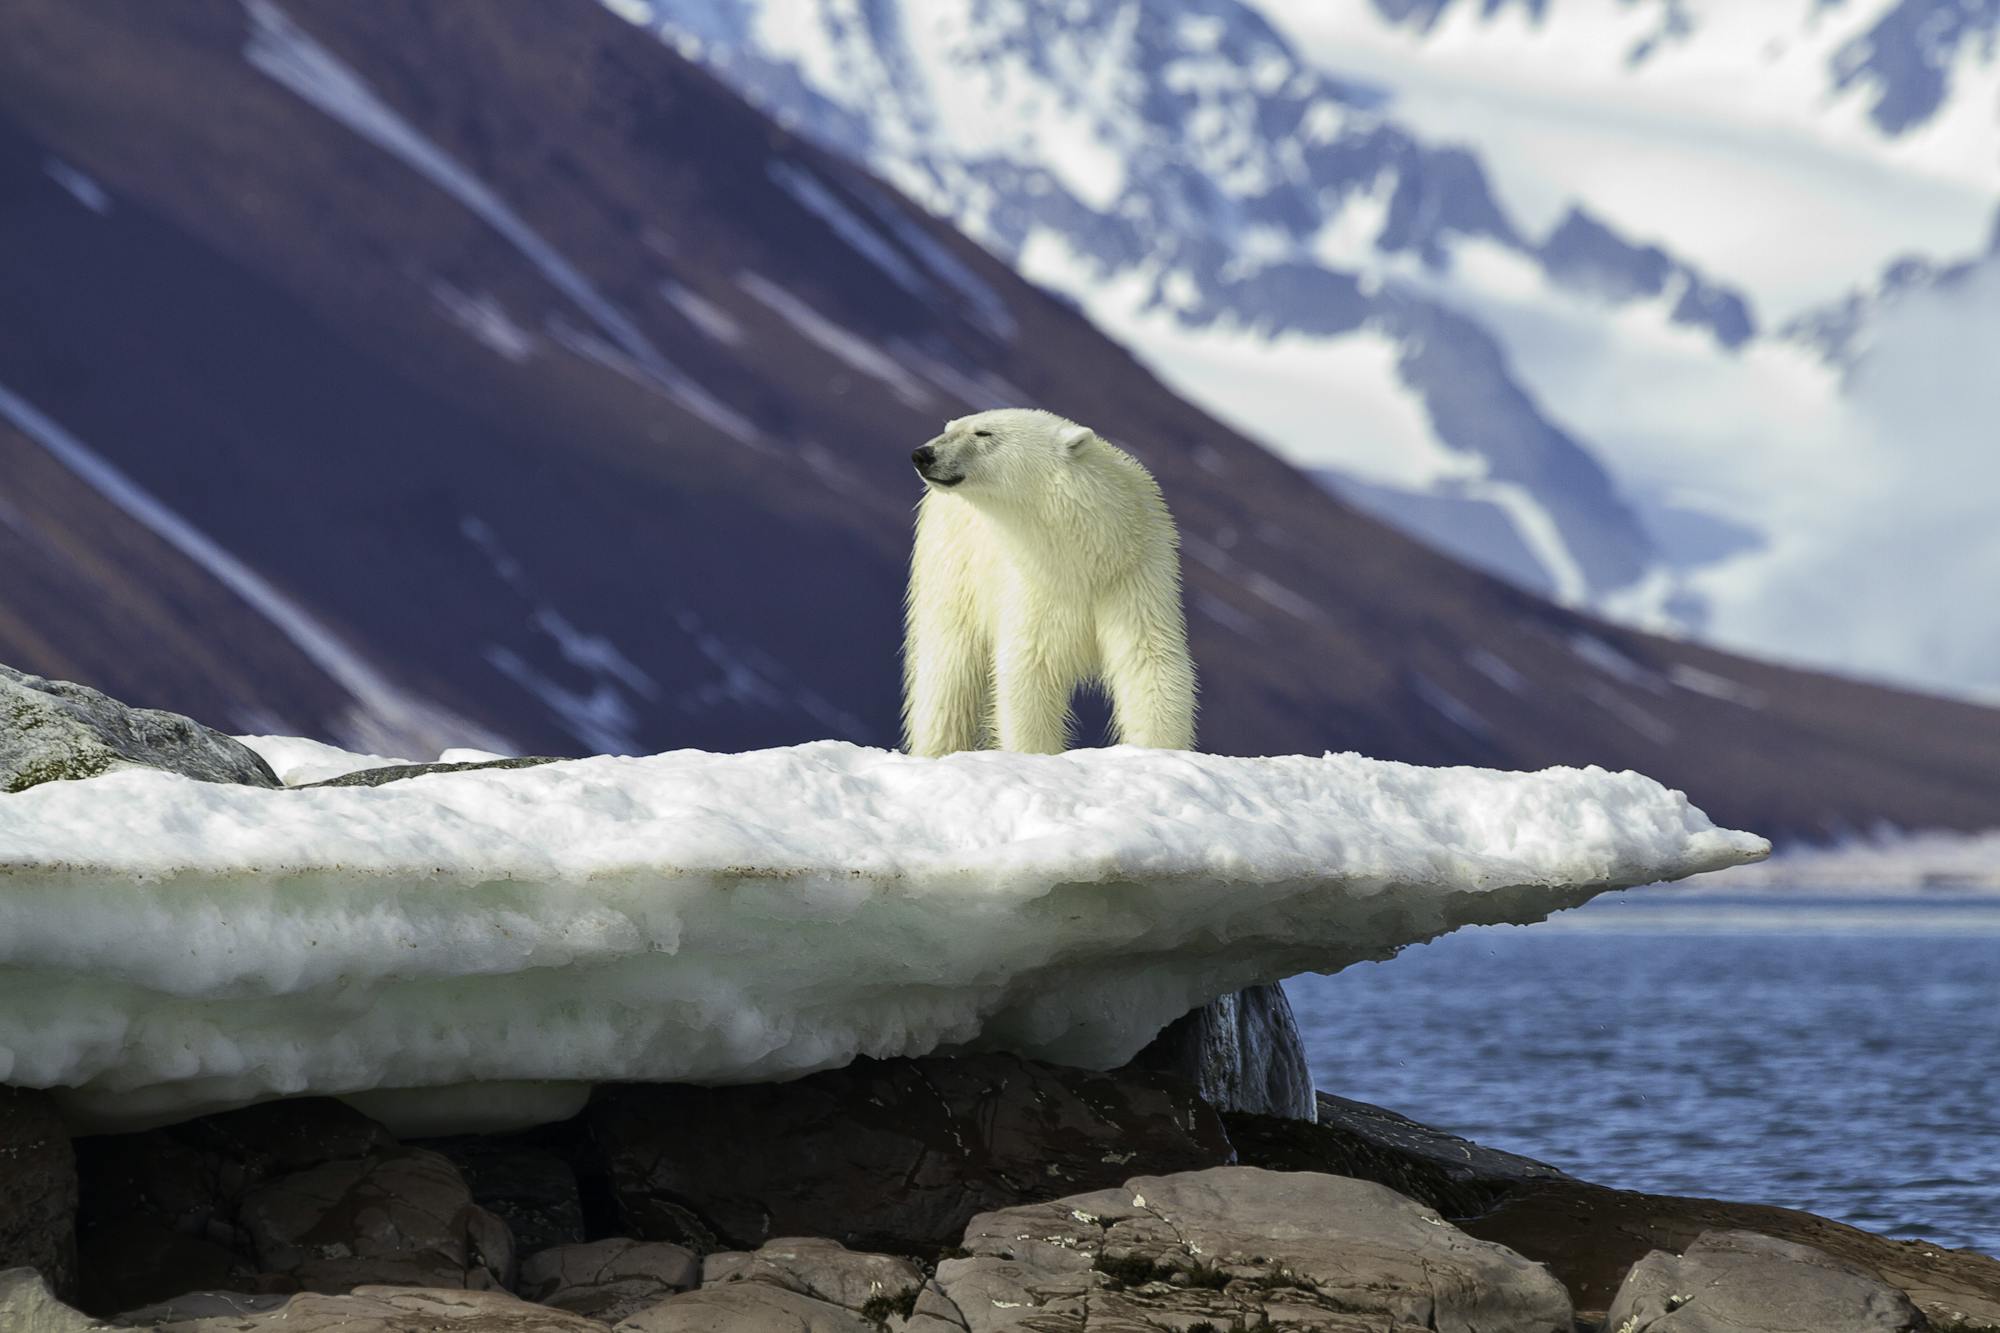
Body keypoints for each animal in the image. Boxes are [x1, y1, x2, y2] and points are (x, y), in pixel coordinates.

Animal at [902, 407, 1197, 756]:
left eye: (983, 432)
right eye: (950, 427)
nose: (923, 454)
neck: (1086, 561)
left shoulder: (1135, 577)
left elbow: (1148, 660)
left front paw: (1159, 750)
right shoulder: (1034, 588)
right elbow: (1030, 672)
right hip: (952, 566)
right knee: (948, 670)